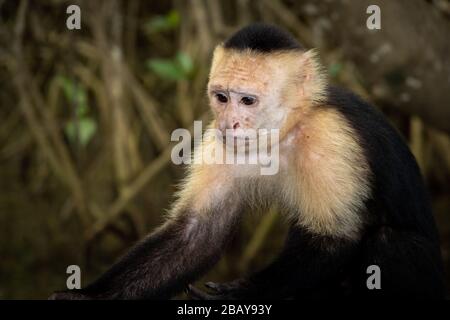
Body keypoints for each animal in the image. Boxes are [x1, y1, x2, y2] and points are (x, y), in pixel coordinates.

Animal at [51, 23, 444, 298]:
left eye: (248, 101)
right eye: (222, 97)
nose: (230, 123)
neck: (283, 132)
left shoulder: (329, 136)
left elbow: (334, 238)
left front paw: (236, 293)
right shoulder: (218, 141)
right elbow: (197, 235)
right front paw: (86, 296)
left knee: (388, 242)